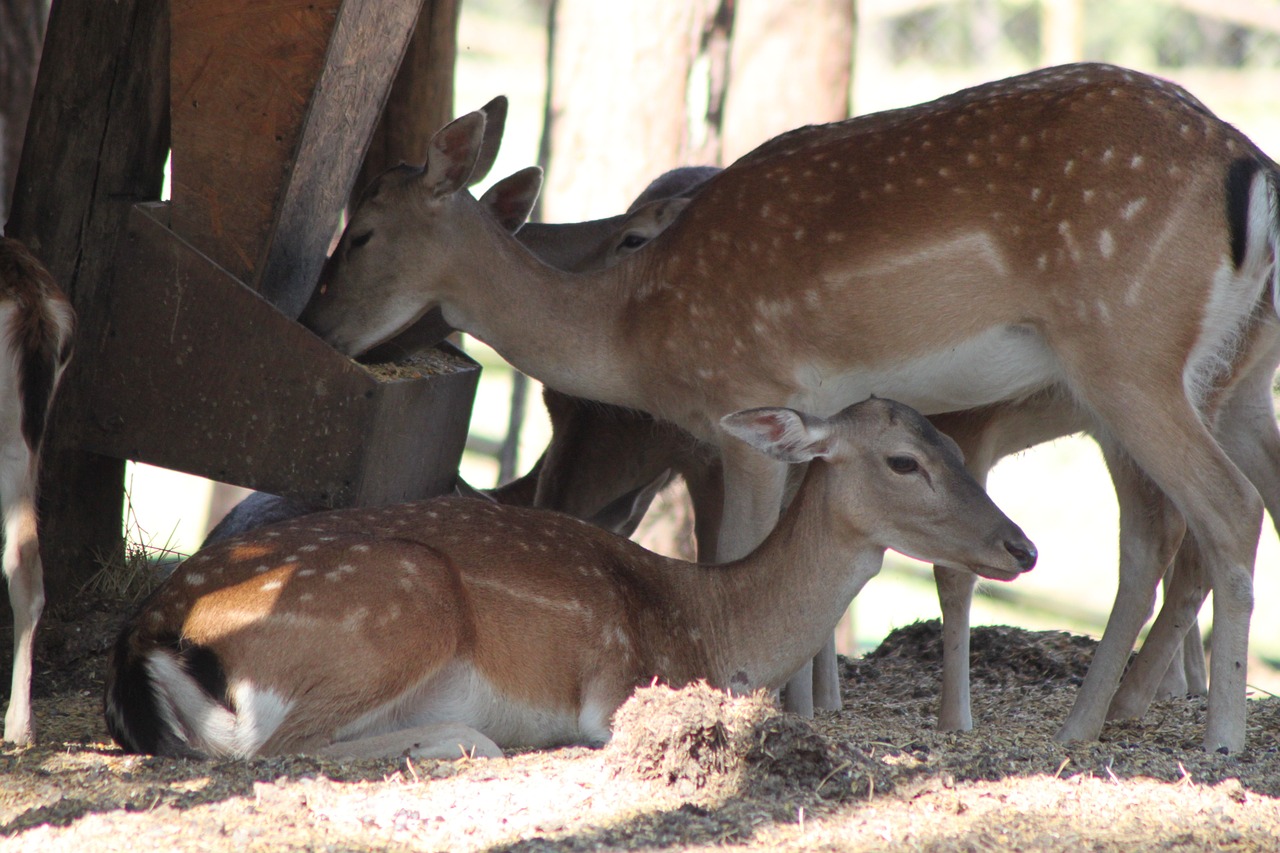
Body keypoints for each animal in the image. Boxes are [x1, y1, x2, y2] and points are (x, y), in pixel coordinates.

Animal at [104, 394, 1034, 758]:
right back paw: (463, 737)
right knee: (269, 748)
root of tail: (149, 635)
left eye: (959, 449)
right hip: (400, 602)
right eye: (905, 459)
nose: (1022, 546)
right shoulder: (619, 686)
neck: (715, 621)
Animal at [302, 64, 1280, 753]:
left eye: (361, 232)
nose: (316, 324)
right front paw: (805, 709)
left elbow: (734, 553)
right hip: (1198, 381)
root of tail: (1251, 170)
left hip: (1131, 355)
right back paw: (1093, 725)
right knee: (1180, 526)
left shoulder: (743, 401)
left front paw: (748, 710)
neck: (635, 327)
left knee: (1223, 512)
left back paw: (1216, 738)